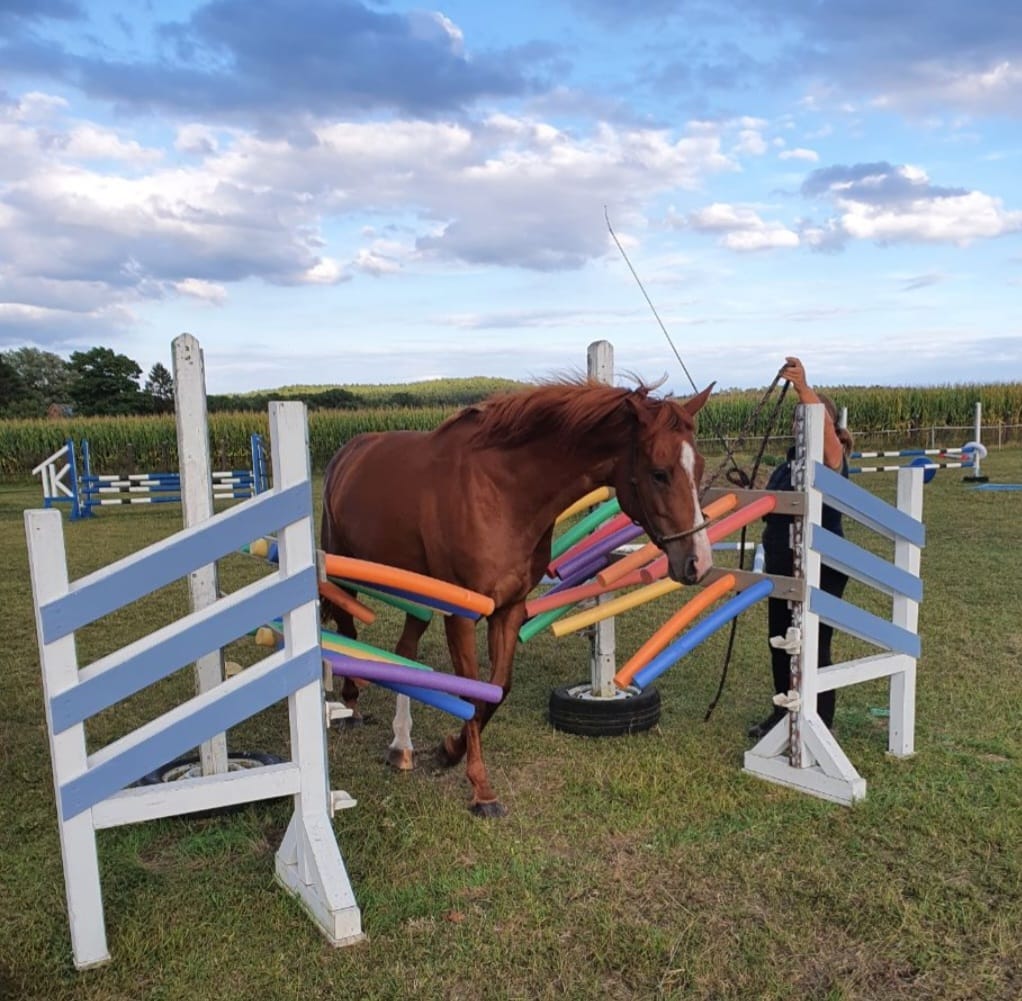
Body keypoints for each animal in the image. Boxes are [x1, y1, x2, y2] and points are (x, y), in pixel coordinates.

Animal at [320, 377, 714, 817]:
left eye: (699, 468)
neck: (502, 494)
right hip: (344, 574)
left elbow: (497, 690)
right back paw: (349, 702)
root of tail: (347, 454)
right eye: (659, 473)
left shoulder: (509, 609)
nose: (698, 562)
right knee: (345, 628)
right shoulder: (461, 616)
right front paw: (481, 789)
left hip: (417, 597)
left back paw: (401, 745)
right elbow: (471, 691)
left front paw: (448, 750)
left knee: (405, 651)